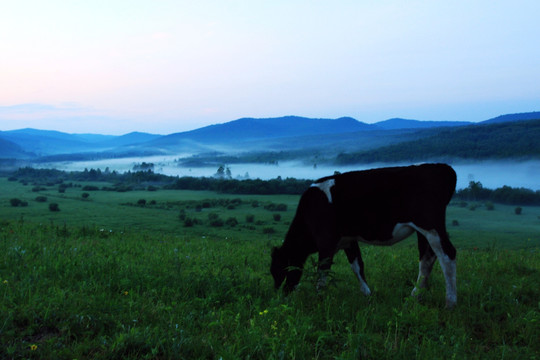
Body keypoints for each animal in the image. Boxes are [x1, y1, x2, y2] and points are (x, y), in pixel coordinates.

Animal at [268, 162, 456, 306]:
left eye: (278, 270)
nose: (280, 295)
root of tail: (440, 167)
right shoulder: (348, 240)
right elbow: (357, 266)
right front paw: (367, 295)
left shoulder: (326, 241)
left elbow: (322, 271)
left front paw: (318, 297)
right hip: (423, 231)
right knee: (427, 259)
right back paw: (415, 296)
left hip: (430, 225)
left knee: (447, 255)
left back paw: (450, 302)